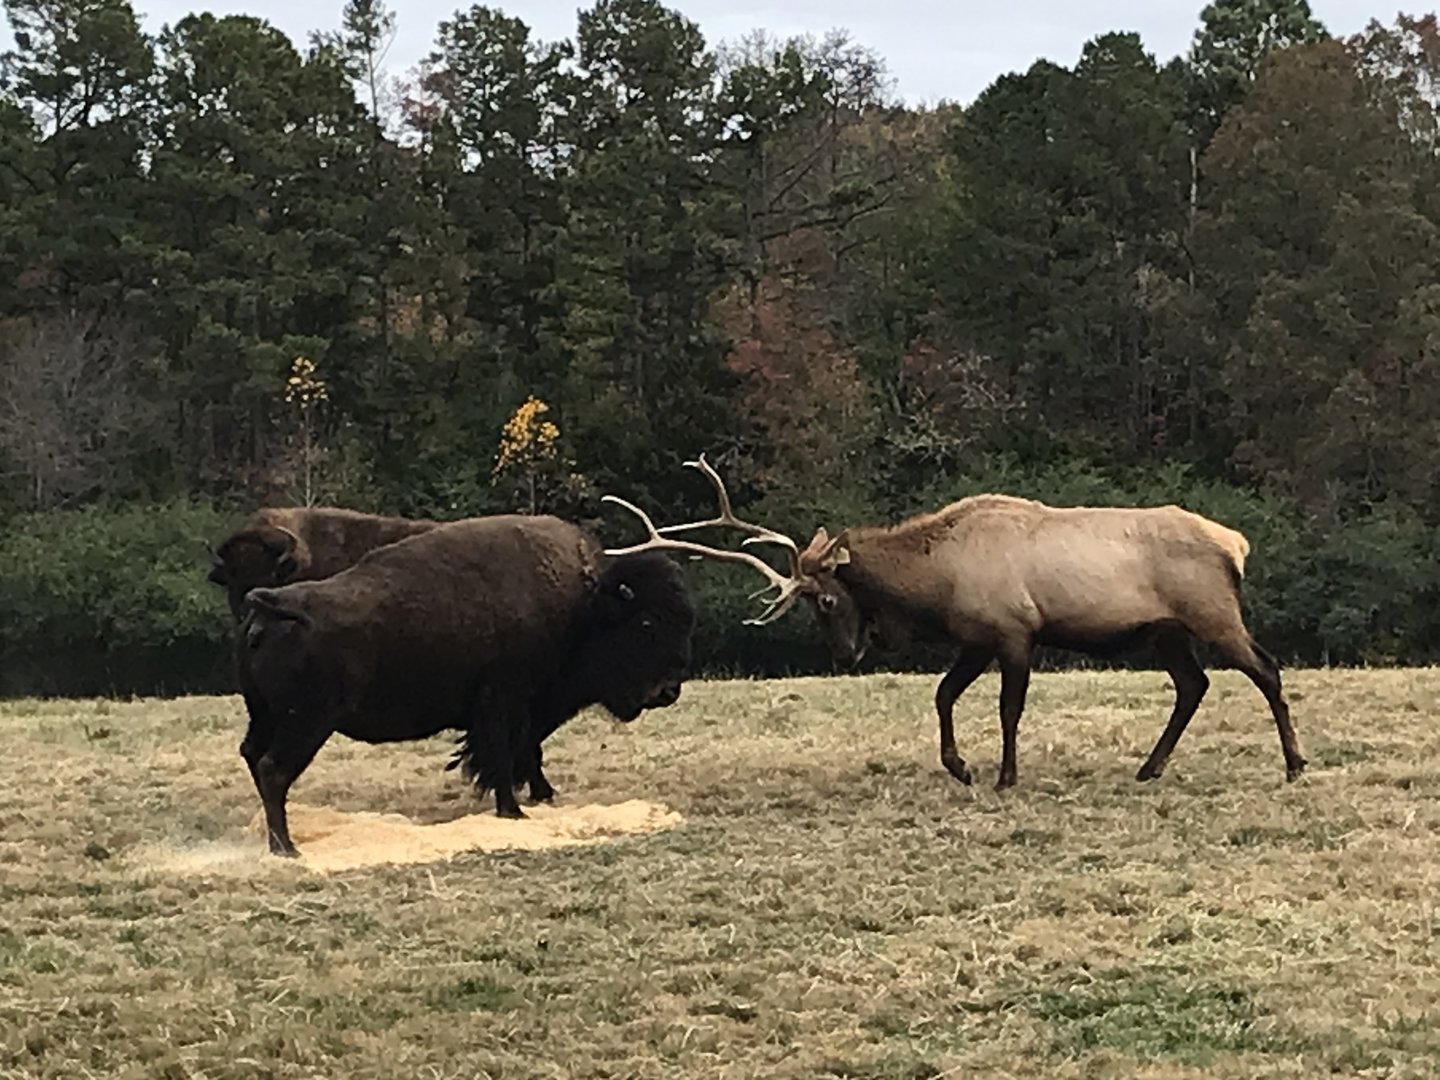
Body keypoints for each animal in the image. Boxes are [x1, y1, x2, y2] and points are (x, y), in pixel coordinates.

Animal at [235, 513, 723, 856]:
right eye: (646, 623)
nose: (668, 691)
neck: (582, 604)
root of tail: (271, 607)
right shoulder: (504, 702)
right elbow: (506, 756)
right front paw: (514, 810)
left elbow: (526, 752)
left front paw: (542, 796)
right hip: (308, 722)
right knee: (273, 769)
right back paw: (287, 849)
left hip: (265, 717)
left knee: (253, 757)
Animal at [601, 457, 1306, 791]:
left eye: (824, 600)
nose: (846, 656)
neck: (936, 586)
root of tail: (1236, 545)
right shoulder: (974, 639)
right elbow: (942, 695)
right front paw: (959, 766)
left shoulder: (1015, 631)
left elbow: (1007, 710)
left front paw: (1002, 774)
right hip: (1165, 630)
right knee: (1194, 685)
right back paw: (1149, 767)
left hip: (1212, 613)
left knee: (1266, 670)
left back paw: (1295, 764)